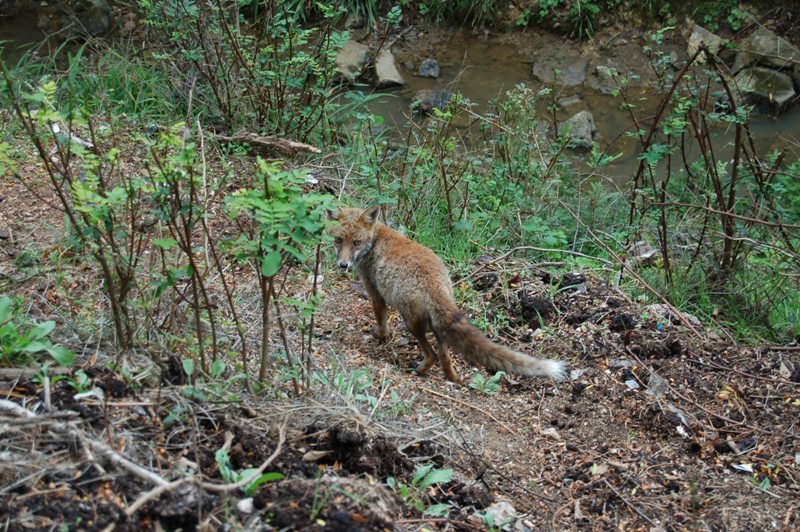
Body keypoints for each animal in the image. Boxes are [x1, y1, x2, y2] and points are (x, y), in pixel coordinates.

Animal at [332, 206, 568, 384]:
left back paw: (417, 371)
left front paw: (380, 336)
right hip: (436, 327)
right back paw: (453, 378)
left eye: (356, 242)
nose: (343, 265)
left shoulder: (375, 294)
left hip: (411, 323)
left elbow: (382, 323)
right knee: (444, 357)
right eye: (338, 240)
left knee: (432, 356)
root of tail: (436, 287)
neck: (375, 241)